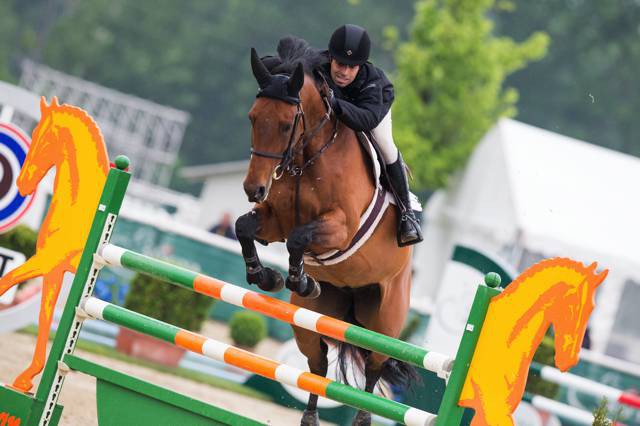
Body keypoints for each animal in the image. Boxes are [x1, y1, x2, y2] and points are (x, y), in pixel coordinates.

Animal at [0, 97, 109, 392]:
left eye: (41, 136)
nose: (22, 184)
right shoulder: (53, 272)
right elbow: (44, 317)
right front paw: (25, 380)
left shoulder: (45, 262)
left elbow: (6, 281)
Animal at [236, 38, 416, 424]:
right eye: (253, 118)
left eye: (286, 124)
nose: (254, 189)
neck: (308, 158)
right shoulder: (274, 220)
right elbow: (244, 227)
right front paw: (267, 277)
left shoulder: (340, 229)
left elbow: (300, 238)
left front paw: (300, 278)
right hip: (310, 321)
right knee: (317, 366)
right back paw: (309, 417)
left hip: (383, 322)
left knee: (374, 370)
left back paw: (362, 418)